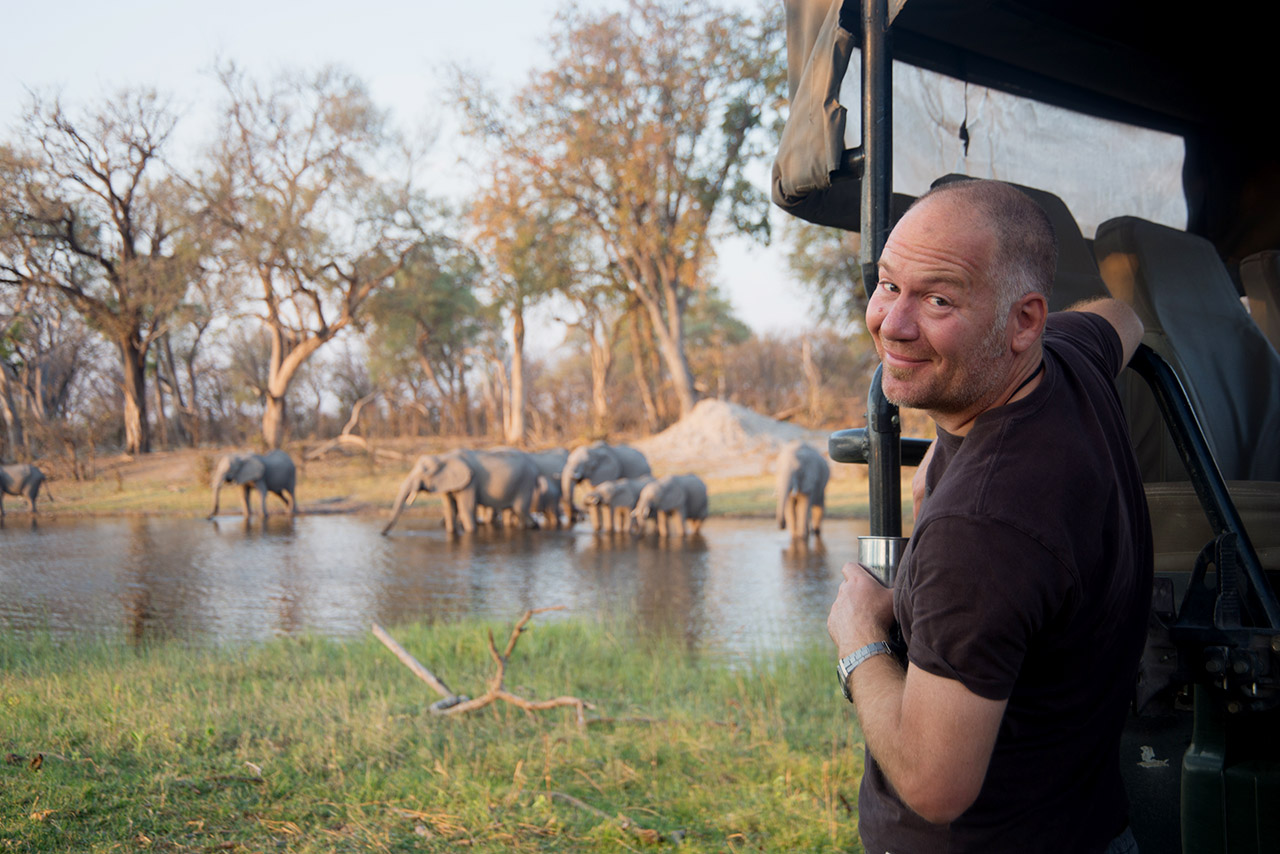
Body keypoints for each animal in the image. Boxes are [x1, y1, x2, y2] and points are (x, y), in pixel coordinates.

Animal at [378, 448, 540, 535]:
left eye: (425, 471)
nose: (382, 534)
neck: (444, 456)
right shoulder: (447, 482)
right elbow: (450, 509)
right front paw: (451, 532)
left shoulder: (470, 481)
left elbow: (465, 509)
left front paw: (471, 532)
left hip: (525, 482)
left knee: (520, 509)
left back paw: (534, 527)